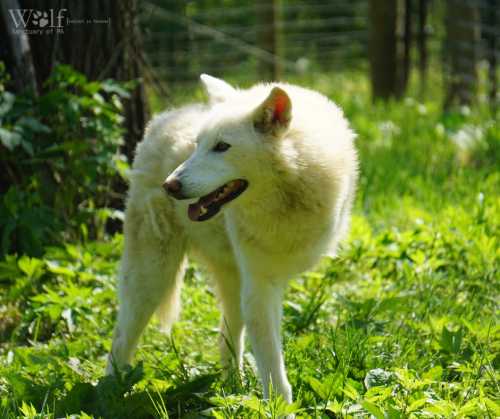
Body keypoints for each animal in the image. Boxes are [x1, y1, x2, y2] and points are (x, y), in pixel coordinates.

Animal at [107, 74, 358, 404]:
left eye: (222, 146)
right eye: (197, 145)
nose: (169, 185)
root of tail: (161, 120)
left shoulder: (263, 284)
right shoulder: (260, 287)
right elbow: (272, 365)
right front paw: (280, 406)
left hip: (230, 284)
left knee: (225, 334)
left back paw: (233, 389)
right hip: (152, 277)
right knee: (121, 338)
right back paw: (107, 395)